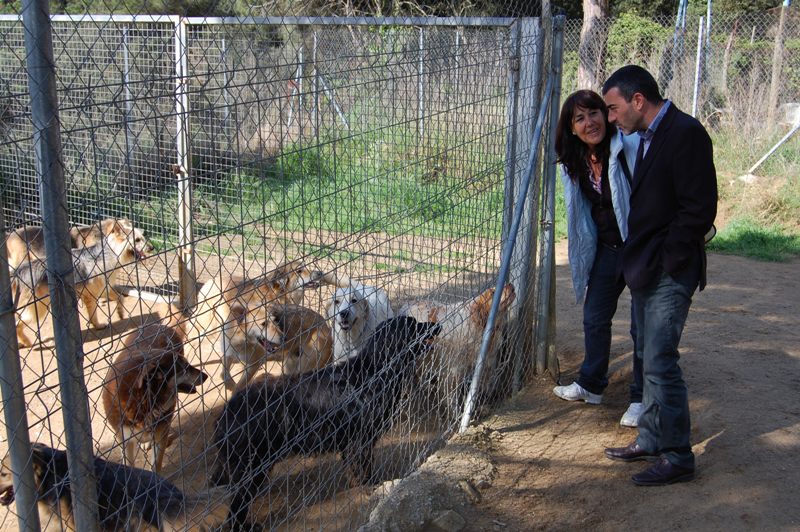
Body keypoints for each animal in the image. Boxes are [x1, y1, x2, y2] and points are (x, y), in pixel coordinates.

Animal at [11, 218, 154, 348]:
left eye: (142, 237)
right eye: (137, 240)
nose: (152, 248)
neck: (110, 252)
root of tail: (20, 272)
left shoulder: (102, 288)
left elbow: (119, 298)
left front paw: (120, 313)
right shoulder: (91, 293)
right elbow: (94, 313)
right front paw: (98, 325)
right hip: (37, 307)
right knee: (17, 323)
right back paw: (27, 342)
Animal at [101, 322, 208, 472]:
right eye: (183, 368)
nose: (205, 376)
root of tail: (160, 325)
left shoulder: (160, 434)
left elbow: (156, 464)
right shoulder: (124, 439)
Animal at [209, 316, 440, 528]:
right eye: (414, 324)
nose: (437, 325)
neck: (374, 370)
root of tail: (228, 410)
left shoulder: (351, 444)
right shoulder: (361, 441)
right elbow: (366, 471)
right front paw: (374, 488)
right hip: (252, 467)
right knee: (236, 508)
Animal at [400, 282, 520, 420]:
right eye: (493, 293)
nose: (510, 284)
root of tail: (407, 304)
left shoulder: (485, 360)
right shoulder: (454, 370)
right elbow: (453, 395)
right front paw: (457, 414)